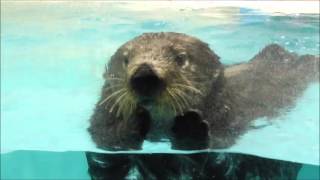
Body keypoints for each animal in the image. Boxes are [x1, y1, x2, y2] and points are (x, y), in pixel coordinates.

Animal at [86, 32, 318, 179]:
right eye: (126, 60)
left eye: (181, 58)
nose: (144, 74)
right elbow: (104, 159)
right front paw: (131, 123)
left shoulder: (226, 126)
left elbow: (222, 164)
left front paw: (190, 127)